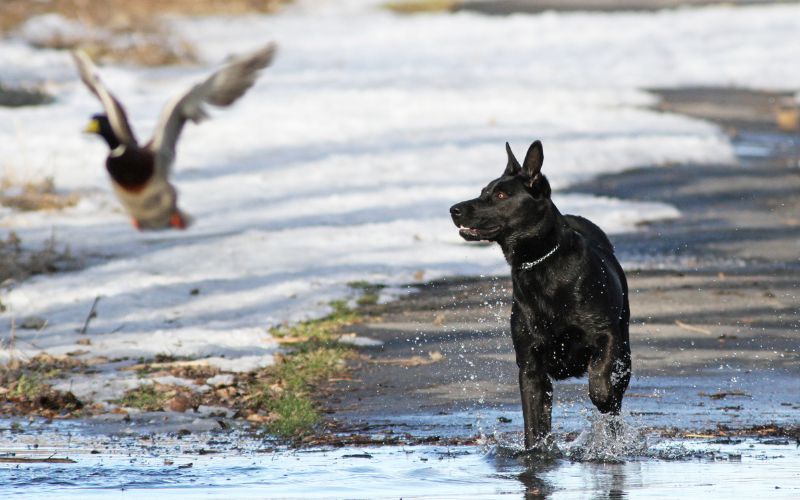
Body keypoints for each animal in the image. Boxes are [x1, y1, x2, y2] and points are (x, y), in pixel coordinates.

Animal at [450, 140, 632, 450]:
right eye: (483, 191)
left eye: (500, 194)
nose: (454, 209)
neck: (540, 263)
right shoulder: (530, 365)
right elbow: (534, 420)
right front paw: (537, 451)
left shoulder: (606, 335)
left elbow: (600, 377)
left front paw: (601, 395)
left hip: (625, 351)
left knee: (615, 401)